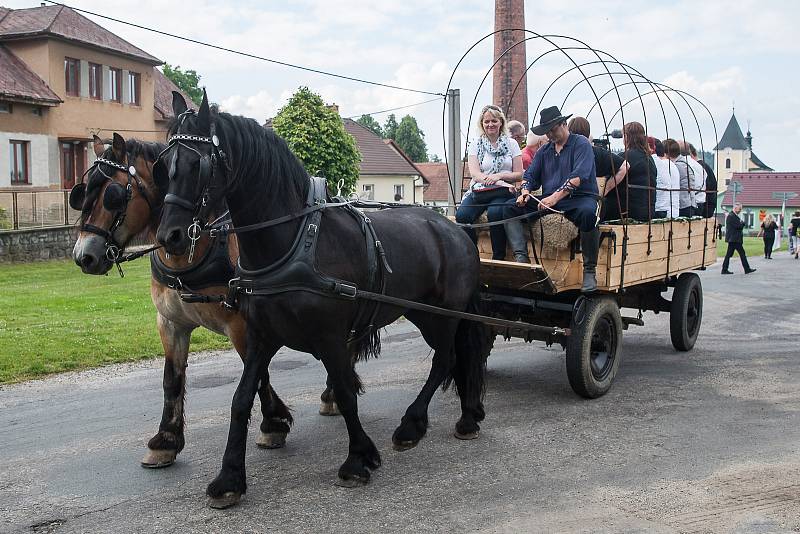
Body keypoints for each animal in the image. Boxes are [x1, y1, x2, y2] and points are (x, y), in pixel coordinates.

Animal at [70, 134, 340, 468]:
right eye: (82, 193)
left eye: (114, 195)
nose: (84, 256)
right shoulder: (170, 323)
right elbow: (172, 379)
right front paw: (166, 440)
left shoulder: (242, 325)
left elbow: (257, 374)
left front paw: (273, 424)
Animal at [157, 92, 494, 510]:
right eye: (163, 165)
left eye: (197, 164)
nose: (168, 237)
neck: (294, 242)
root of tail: (457, 229)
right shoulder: (261, 337)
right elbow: (241, 399)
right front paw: (230, 477)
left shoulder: (331, 338)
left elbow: (347, 392)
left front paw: (359, 458)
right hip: (425, 313)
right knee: (459, 357)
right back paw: (465, 416)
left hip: (444, 315)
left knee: (446, 359)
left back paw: (414, 423)